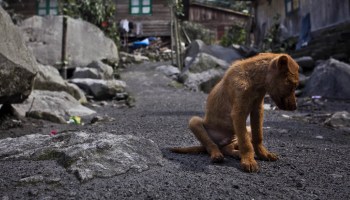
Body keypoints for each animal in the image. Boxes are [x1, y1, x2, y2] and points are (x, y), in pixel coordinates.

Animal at [170, 52, 298, 172]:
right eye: (292, 85)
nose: (295, 107)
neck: (253, 80)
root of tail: (221, 142)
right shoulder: (238, 113)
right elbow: (246, 143)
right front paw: (249, 161)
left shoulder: (257, 110)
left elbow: (257, 136)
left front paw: (263, 154)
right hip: (194, 122)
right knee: (211, 145)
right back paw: (217, 155)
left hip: (245, 130)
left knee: (228, 148)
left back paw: (237, 153)